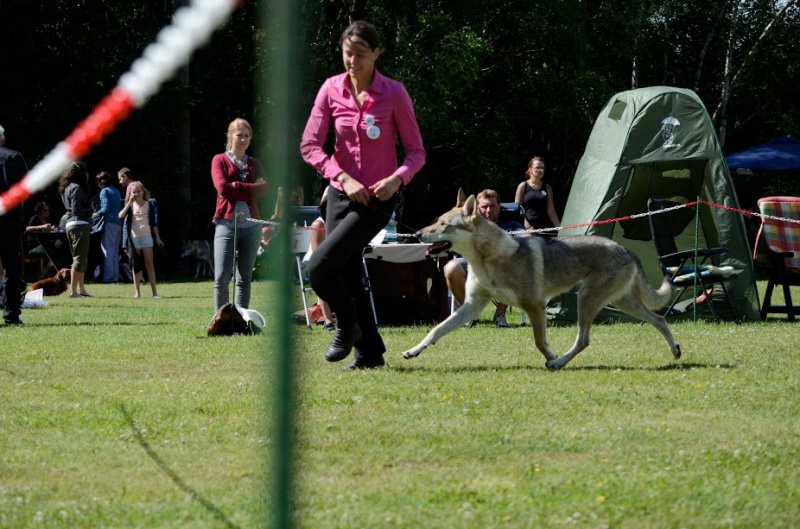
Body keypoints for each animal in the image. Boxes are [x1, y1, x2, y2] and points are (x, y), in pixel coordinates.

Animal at [404, 188, 684, 370]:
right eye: (435, 221)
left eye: (443, 224)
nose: (417, 233)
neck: (488, 259)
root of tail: (625, 250)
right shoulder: (472, 306)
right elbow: (436, 330)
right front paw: (413, 351)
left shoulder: (534, 306)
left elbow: (540, 342)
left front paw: (551, 355)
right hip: (621, 303)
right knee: (659, 319)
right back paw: (675, 350)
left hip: (588, 301)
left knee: (584, 340)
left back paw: (559, 363)